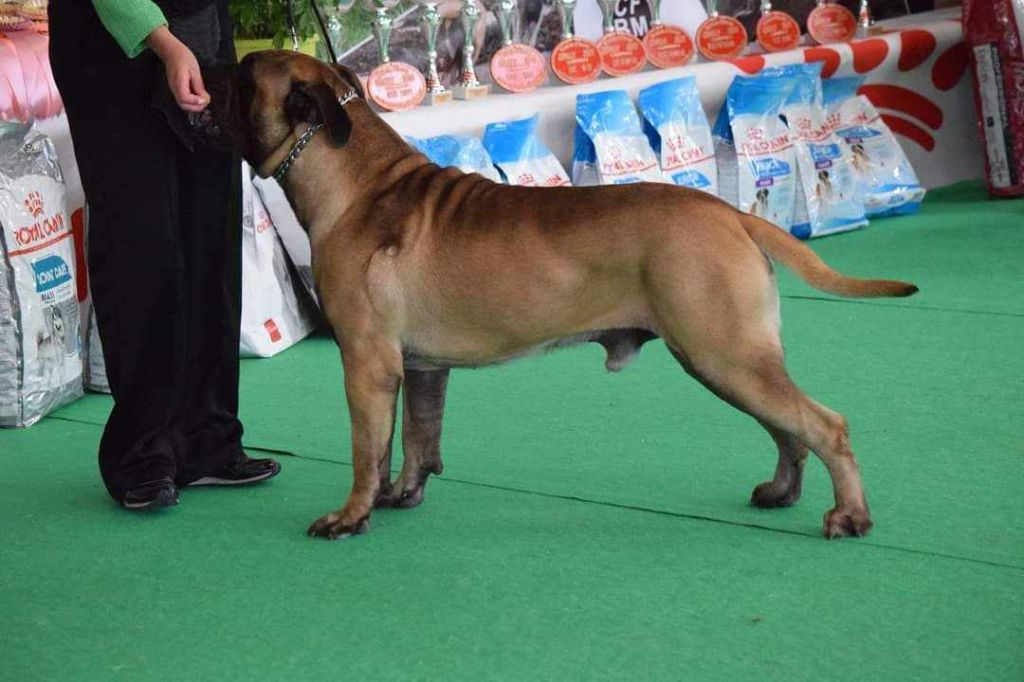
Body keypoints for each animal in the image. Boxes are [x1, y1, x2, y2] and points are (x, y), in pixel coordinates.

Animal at [211, 51, 917, 540]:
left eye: (242, 77)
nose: (206, 73)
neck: (355, 180)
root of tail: (731, 214)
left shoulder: (366, 363)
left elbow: (366, 449)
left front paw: (351, 515)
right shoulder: (422, 368)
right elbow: (416, 436)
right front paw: (401, 495)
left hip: (722, 351)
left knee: (823, 424)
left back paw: (849, 516)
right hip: (734, 357)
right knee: (787, 428)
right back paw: (779, 492)